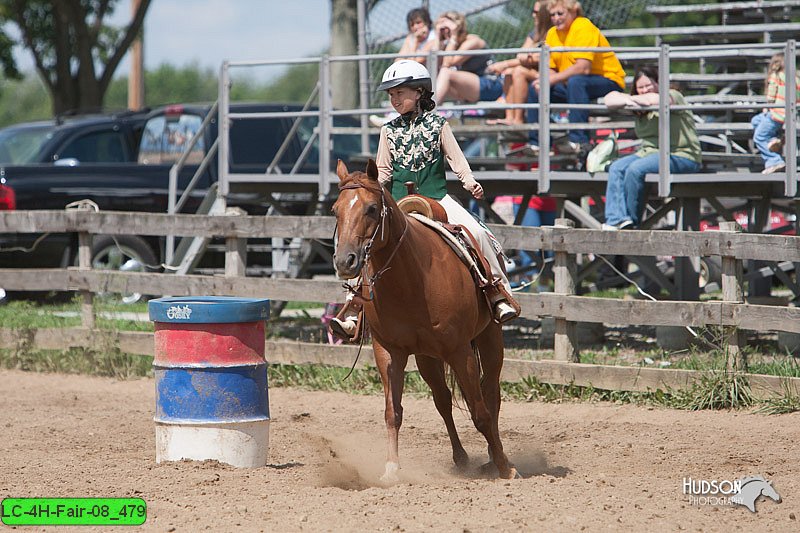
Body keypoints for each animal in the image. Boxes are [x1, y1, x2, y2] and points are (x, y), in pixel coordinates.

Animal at [332, 159, 516, 482]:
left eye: (371, 208)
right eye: (334, 210)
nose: (345, 261)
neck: (410, 279)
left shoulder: (460, 351)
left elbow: (480, 412)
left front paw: (505, 467)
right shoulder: (388, 351)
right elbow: (393, 412)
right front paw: (391, 469)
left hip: (489, 339)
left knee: (490, 395)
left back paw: (495, 458)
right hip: (427, 357)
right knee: (443, 400)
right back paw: (461, 458)